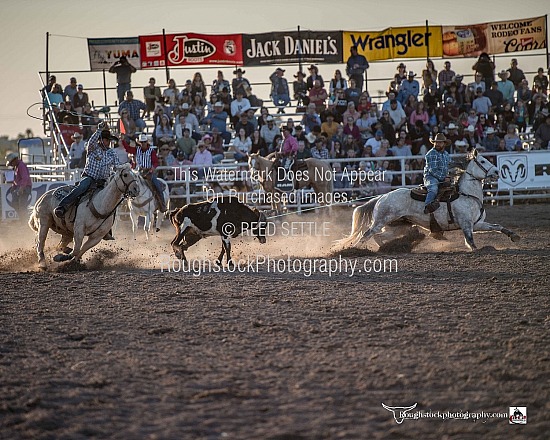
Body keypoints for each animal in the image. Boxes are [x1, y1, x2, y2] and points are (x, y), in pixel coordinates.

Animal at [338, 148, 524, 251]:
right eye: (483, 161)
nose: (497, 172)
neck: (467, 194)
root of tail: (381, 197)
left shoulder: (477, 224)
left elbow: (497, 226)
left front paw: (514, 236)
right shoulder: (466, 224)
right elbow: (470, 241)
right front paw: (476, 249)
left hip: (399, 225)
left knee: (379, 236)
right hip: (381, 220)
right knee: (366, 234)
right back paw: (352, 250)